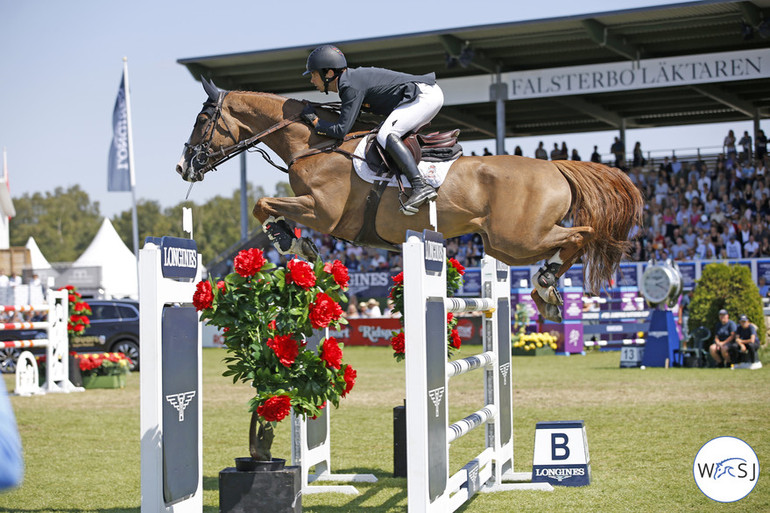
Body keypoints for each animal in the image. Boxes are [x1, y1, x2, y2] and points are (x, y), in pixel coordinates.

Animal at [176, 79, 640, 320]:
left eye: (202, 119)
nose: (184, 167)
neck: (314, 144)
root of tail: (555, 167)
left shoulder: (324, 213)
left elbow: (264, 206)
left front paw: (292, 242)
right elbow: (266, 207)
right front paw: (298, 245)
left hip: (518, 238)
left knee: (582, 235)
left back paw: (544, 284)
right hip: (504, 246)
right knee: (575, 239)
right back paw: (547, 293)